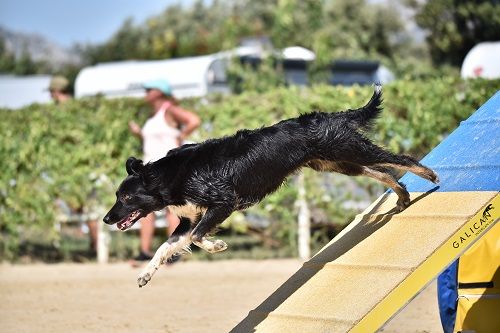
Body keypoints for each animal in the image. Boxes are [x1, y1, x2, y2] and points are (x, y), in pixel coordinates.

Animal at [102, 85, 438, 286]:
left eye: (126, 197)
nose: (106, 218)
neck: (172, 176)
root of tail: (332, 116)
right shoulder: (189, 219)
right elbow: (166, 246)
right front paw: (146, 274)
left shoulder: (223, 202)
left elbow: (198, 237)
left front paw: (218, 245)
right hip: (338, 163)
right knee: (384, 172)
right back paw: (402, 197)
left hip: (350, 151)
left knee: (399, 159)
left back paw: (430, 175)